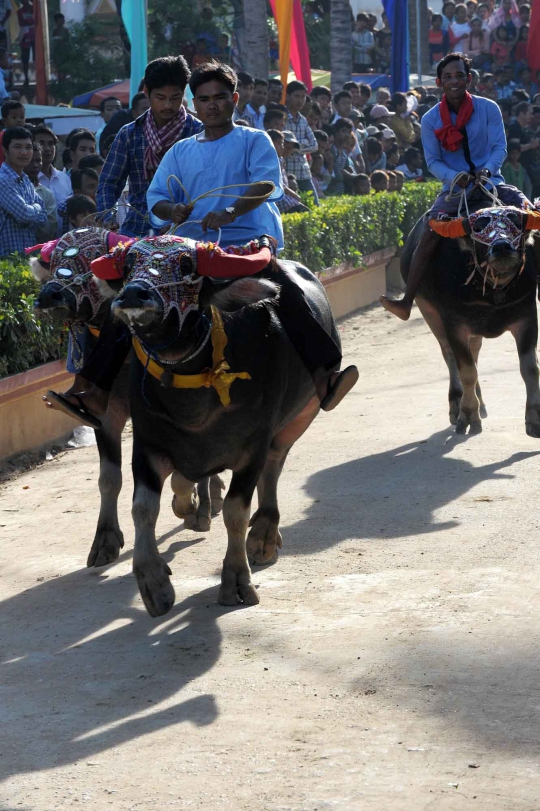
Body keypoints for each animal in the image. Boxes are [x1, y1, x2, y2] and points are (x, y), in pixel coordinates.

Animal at [93, 235, 344, 616]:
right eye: (130, 265)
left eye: (186, 266)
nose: (134, 294)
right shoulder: (147, 443)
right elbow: (143, 507)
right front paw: (154, 583)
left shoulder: (253, 446)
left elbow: (236, 512)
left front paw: (237, 579)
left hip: (303, 415)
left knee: (274, 466)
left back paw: (263, 534)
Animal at [402, 208, 540, 438]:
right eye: (478, 228)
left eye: (515, 223)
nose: (501, 247)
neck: (493, 290)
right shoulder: (454, 325)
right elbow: (466, 372)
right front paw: (467, 415)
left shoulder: (527, 318)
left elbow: (530, 369)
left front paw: (534, 418)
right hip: (428, 312)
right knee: (450, 357)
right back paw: (456, 404)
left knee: (474, 353)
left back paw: (480, 402)